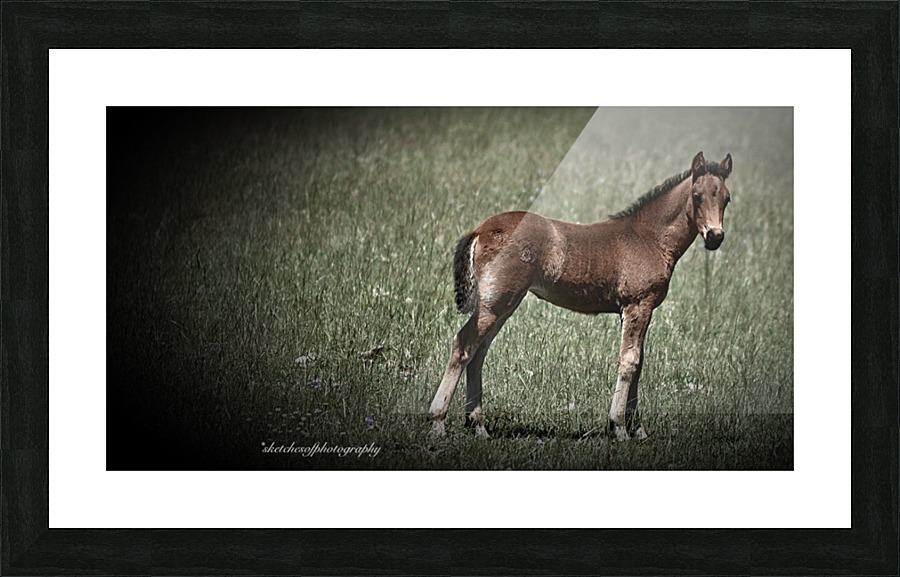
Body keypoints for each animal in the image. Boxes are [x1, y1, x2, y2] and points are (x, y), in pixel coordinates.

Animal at [428, 151, 733, 440]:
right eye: (696, 196)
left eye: (727, 199)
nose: (715, 237)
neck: (650, 238)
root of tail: (480, 229)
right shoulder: (638, 305)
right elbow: (629, 362)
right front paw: (619, 427)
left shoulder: (637, 310)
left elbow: (639, 362)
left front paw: (639, 429)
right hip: (497, 302)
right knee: (464, 344)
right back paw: (438, 421)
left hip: (503, 303)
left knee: (479, 351)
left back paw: (478, 426)